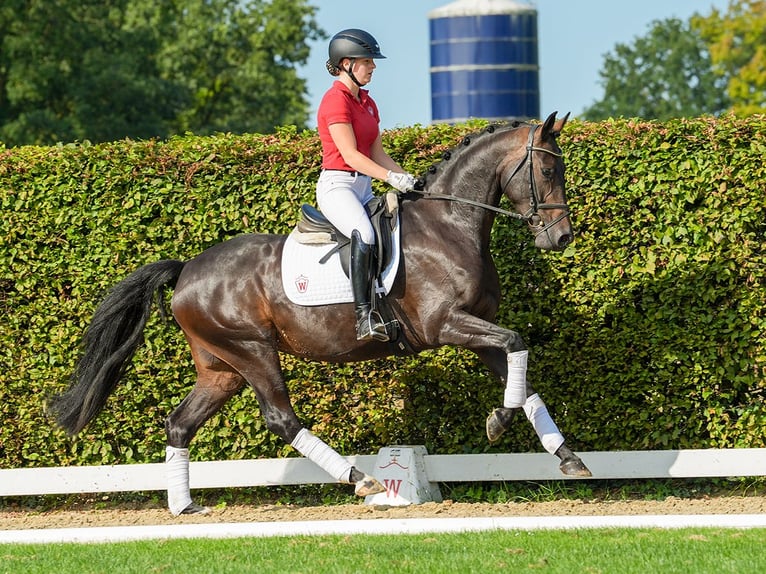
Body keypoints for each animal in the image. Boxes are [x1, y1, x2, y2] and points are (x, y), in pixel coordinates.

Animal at [49, 112, 592, 516]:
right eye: (547, 172)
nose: (561, 237)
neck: (449, 223)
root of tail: (186, 271)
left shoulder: (477, 333)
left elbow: (525, 381)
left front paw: (567, 459)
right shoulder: (447, 326)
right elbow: (517, 342)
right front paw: (498, 421)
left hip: (221, 366)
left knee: (180, 424)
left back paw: (184, 507)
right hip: (251, 350)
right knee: (281, 418)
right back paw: (361, 479)